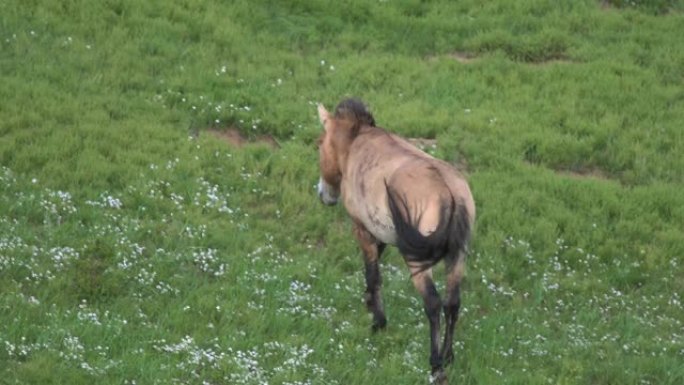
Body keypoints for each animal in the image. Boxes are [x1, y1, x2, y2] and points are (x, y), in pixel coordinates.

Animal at [316, 98, 472, 380]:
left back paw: (436, 363)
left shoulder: (362, 229)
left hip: (418, 261)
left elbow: (372, 273)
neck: (357, 143)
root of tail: (450, 194)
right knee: (452, 303)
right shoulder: (383, 234)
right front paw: (369, 303)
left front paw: (378, 322)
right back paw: (448, 356)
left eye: (319, 143)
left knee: (433, 303)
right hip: (457, 256)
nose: (324, 194)